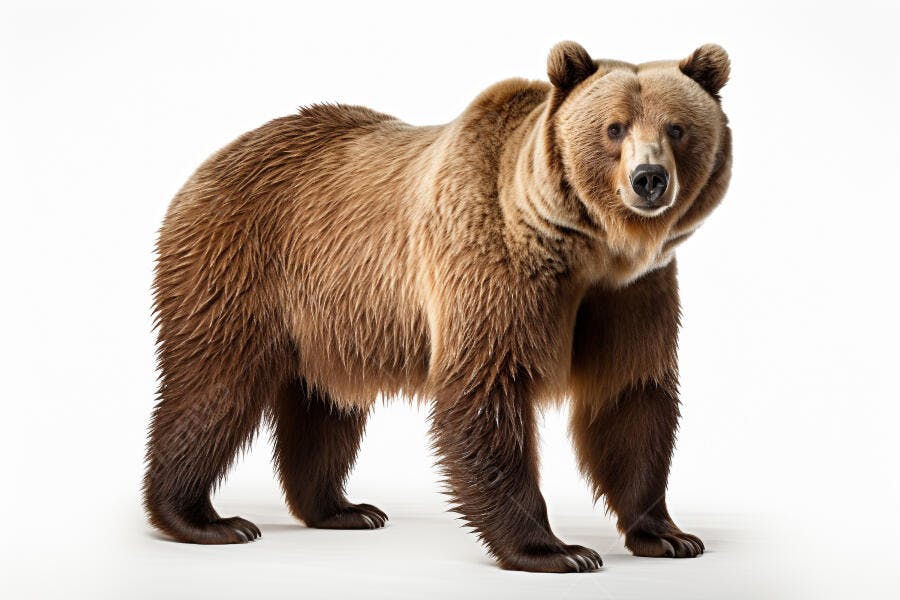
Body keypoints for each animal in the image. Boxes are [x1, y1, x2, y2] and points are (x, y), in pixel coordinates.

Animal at [144, 41, 732, 573]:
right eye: (613, 128)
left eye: (676, 128)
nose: (648, 179)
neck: (585, 249)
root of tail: (215, 158)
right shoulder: (493, 266)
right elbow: (489, 389)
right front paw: (556, 549)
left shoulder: (630, 293)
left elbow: (630, 394)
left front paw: (667, 534)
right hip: (239, 264)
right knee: (214, 386)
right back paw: (202, 518)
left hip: (331, 315)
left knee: (325, 405)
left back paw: (343, 509)